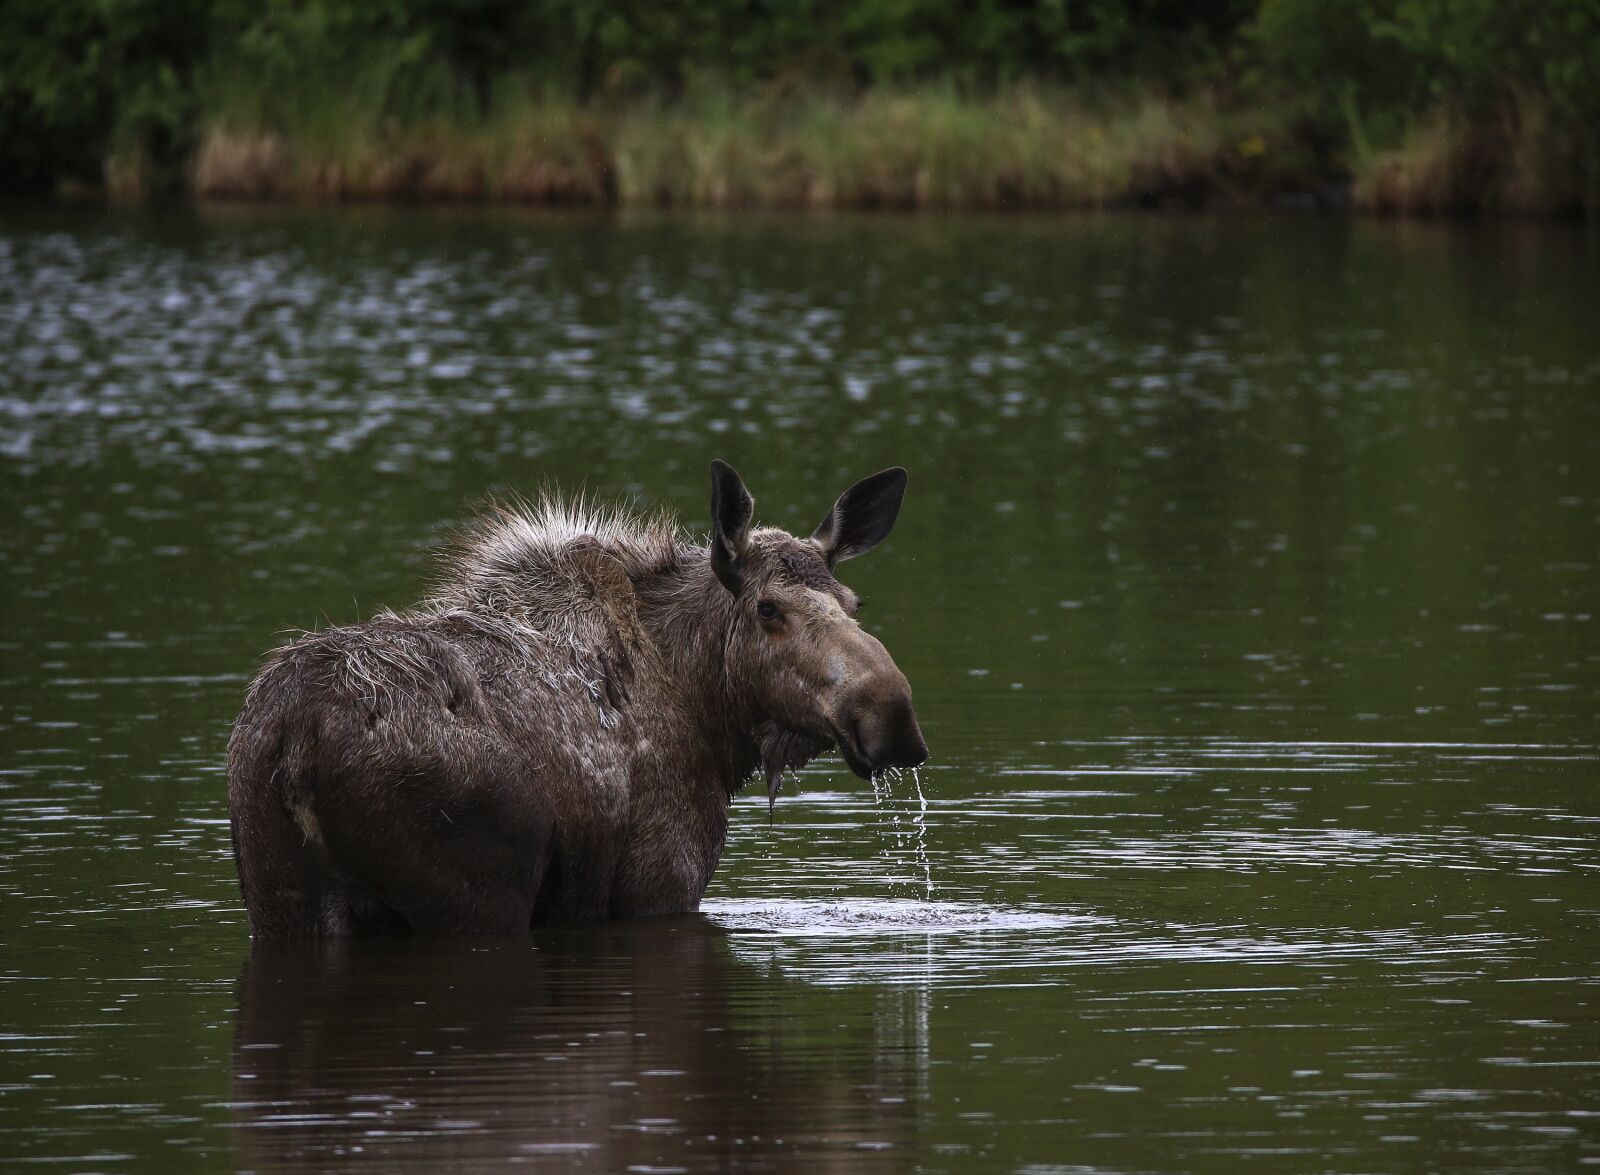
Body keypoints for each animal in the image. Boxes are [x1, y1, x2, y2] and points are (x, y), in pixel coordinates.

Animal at [225, 461, 928, 941]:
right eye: (767, 608)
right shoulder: (661, 879)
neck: (711, 717)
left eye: (854, 602)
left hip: (281, 901)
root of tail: (294, 742)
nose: (891, 716)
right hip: (476, 897)